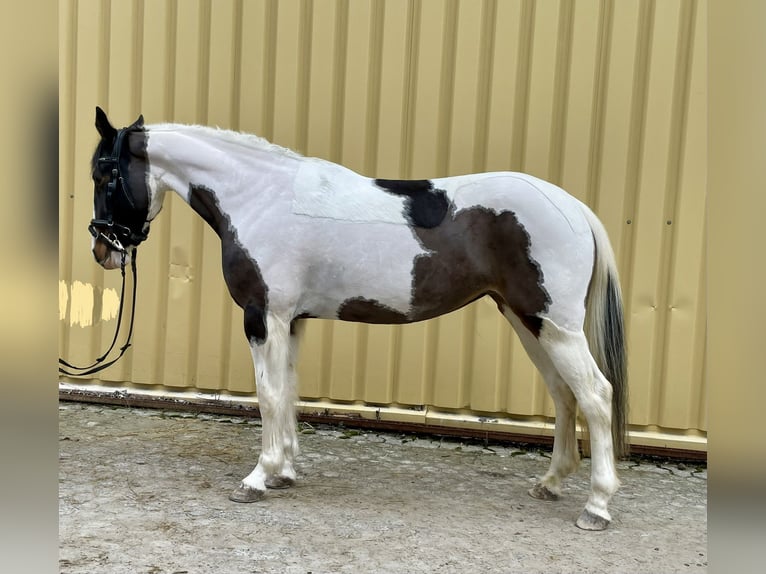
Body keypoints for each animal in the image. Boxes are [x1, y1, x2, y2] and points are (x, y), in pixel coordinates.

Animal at [88, 107, 627, 531]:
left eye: (103, 174)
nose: (103, 251)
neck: (259, 195)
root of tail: (576, 209)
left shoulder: (263, 317)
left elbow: (268, 395)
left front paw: (258, 478)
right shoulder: (292, 321)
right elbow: (289, 392)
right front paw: (285, 473)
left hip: (553, 325)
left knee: (596, 395)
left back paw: (597, 507)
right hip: (527, 320)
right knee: (563, 394)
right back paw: (551, 483)